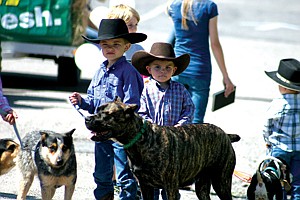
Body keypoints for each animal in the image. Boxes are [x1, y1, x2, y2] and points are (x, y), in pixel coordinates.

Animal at [84, 98, 241, 200]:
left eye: (107, 115)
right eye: (97, 110)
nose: (87, 118)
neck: (141, 139)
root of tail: (225, 135)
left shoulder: (170, 188)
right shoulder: (145, 186)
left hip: (221, 182)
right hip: (202, 186)